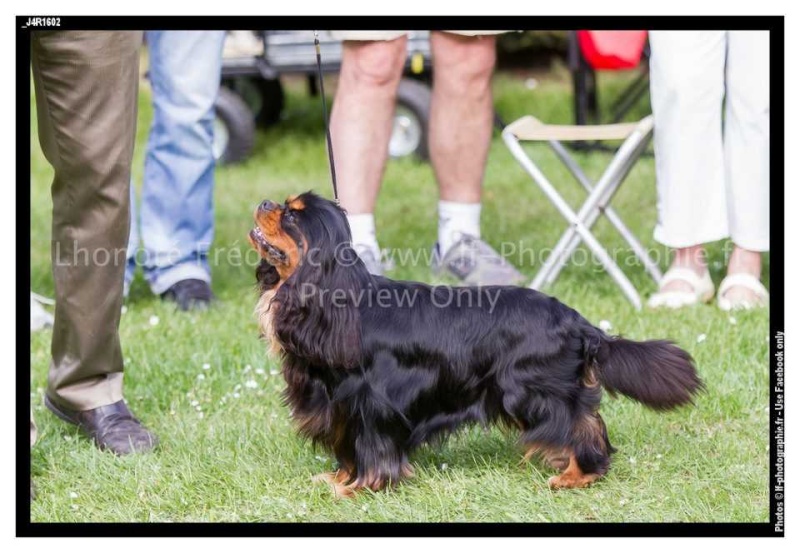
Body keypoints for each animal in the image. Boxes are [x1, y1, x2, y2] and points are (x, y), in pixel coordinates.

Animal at [248, 190, 700, 496]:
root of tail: (577, 322)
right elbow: (347, 449)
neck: (334, 296)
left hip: (531, 391)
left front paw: (359, 487)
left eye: (291, 216)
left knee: (580, 425)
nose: (264, 201)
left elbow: (373, 449)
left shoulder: (371, 403)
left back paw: (577, 474)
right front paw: (339, 477)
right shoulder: (341, 407)